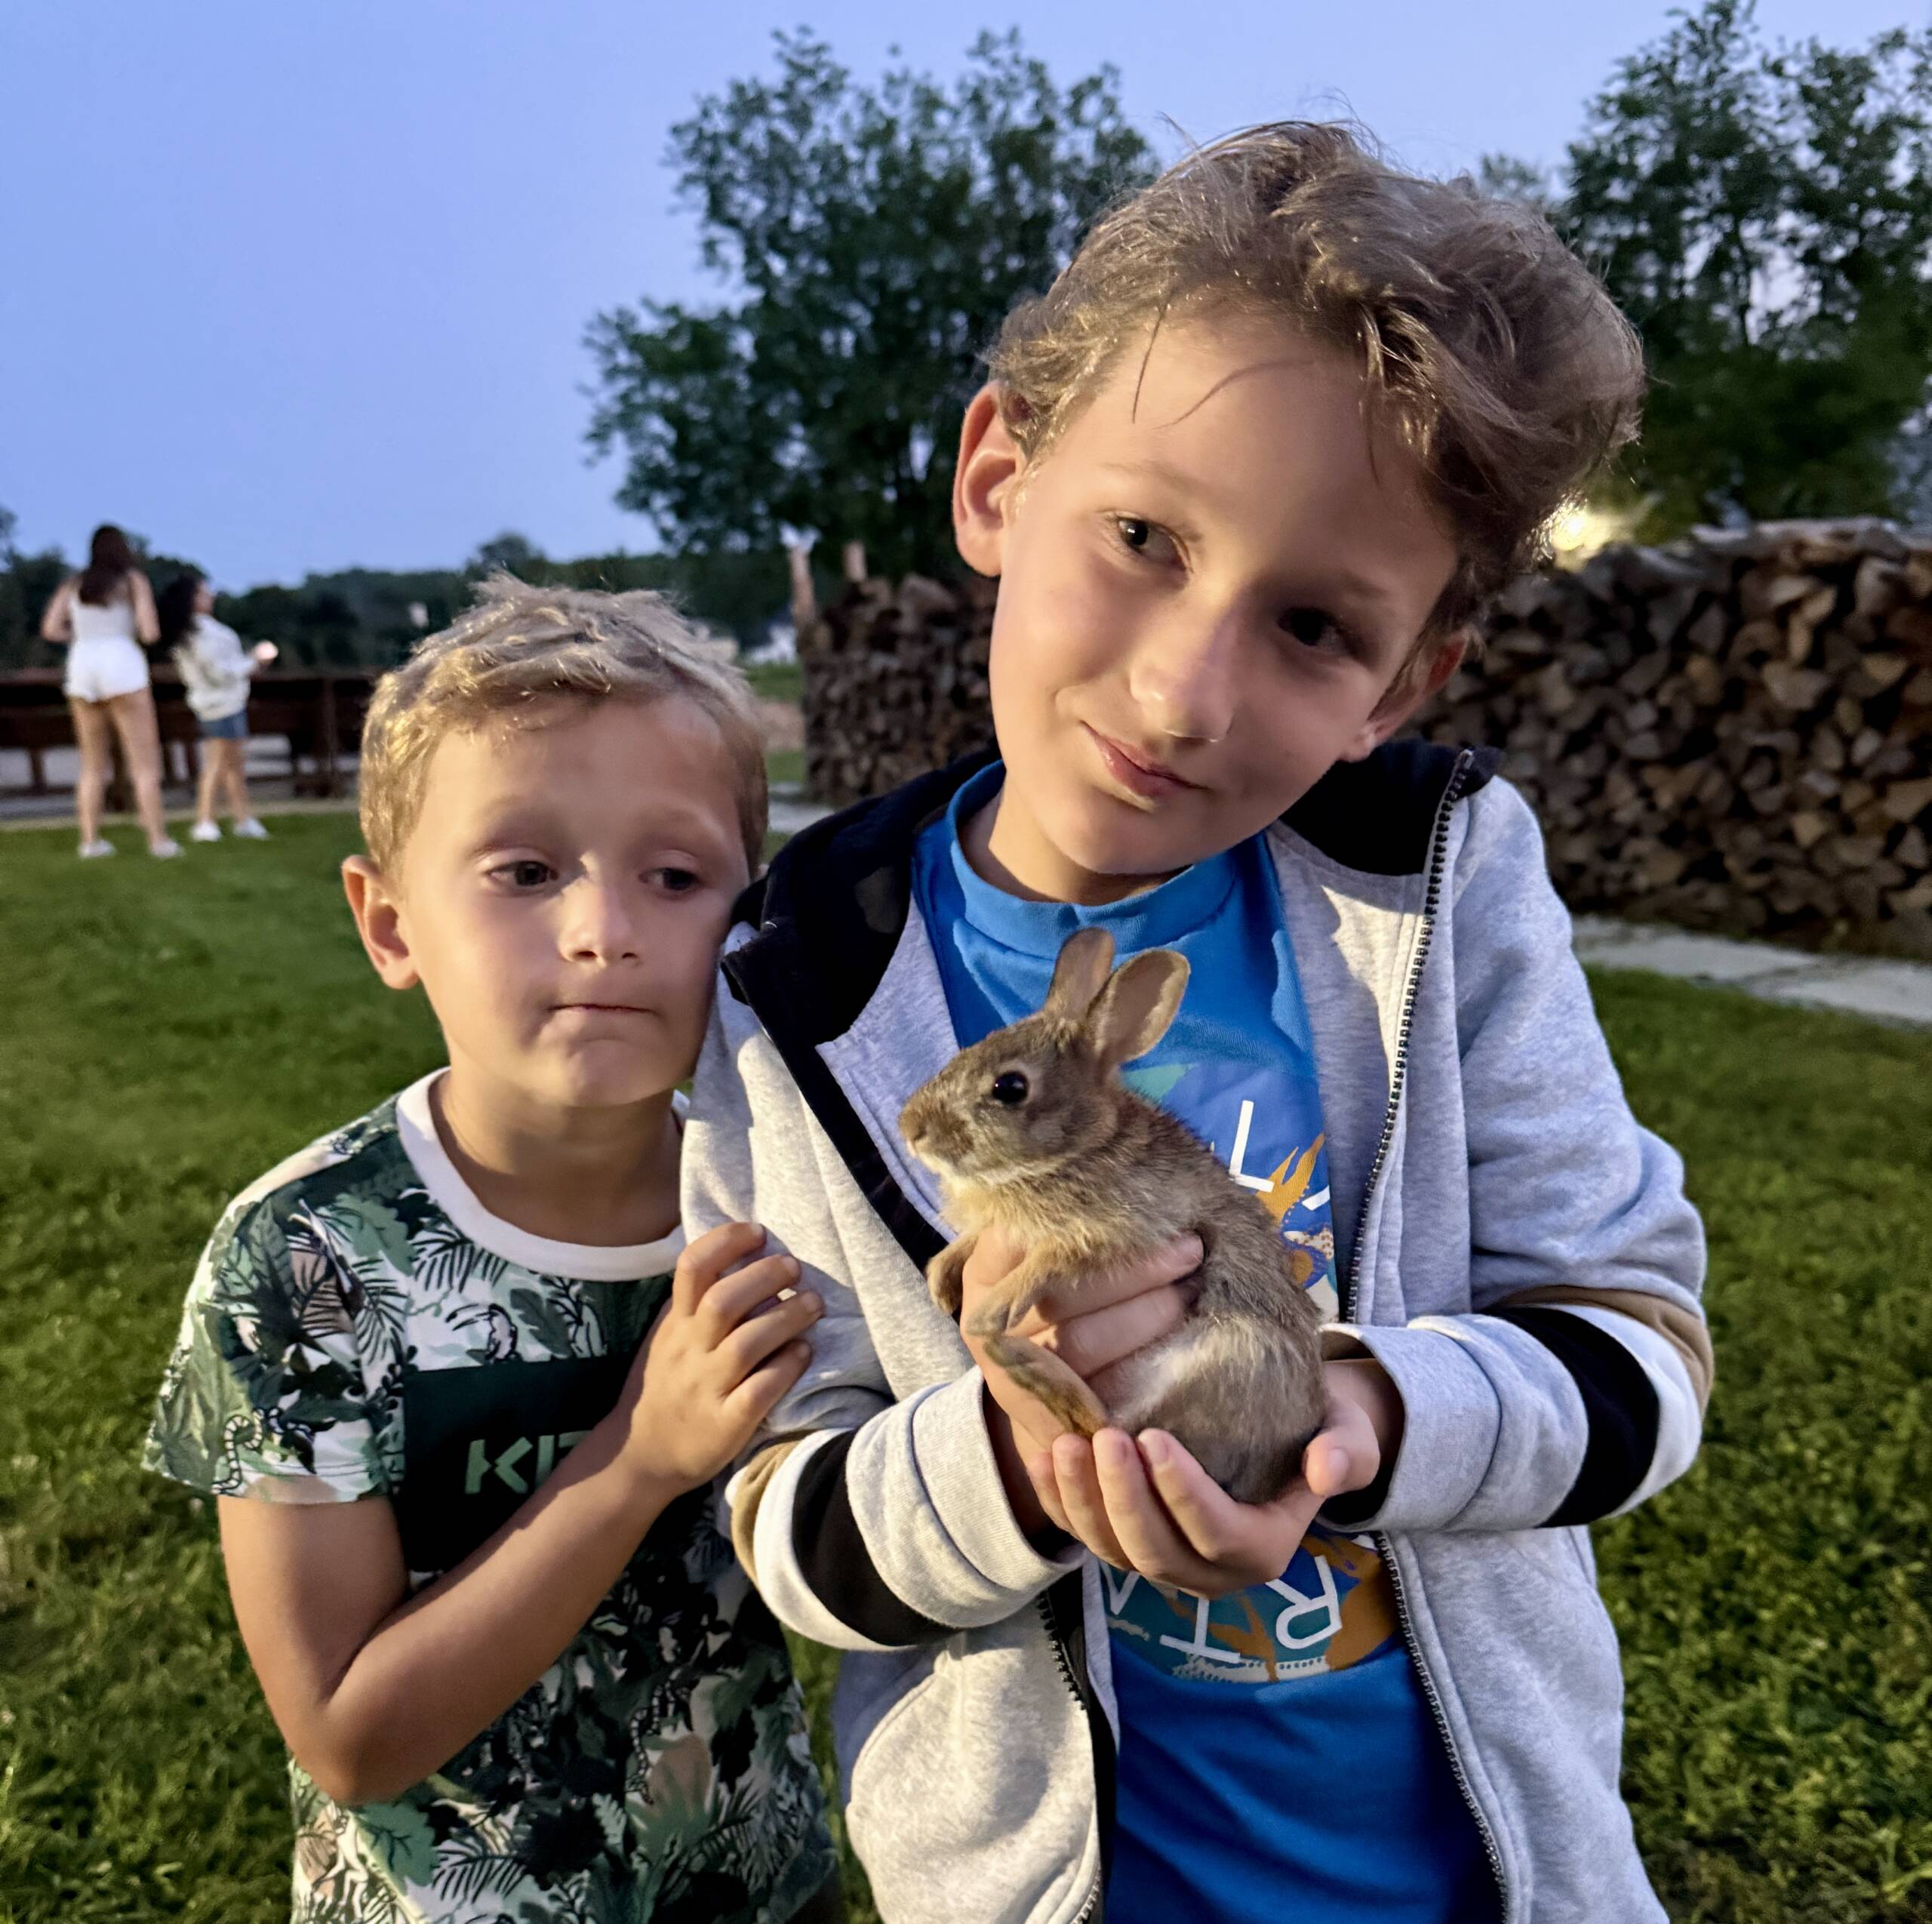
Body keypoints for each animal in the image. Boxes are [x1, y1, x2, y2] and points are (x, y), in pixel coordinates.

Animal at [898, 925, 1327, 1508]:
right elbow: (969, 1242)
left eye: (1009, 1087)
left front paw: (991, 1312)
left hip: (1232, 1356)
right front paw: (942, 1282)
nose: (910, 1128)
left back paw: (1024, 1363)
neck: (1079, 1145)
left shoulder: (1119, 1228)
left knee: (1114, 1432)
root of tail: (1263, 1481)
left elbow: (1051, 1261)